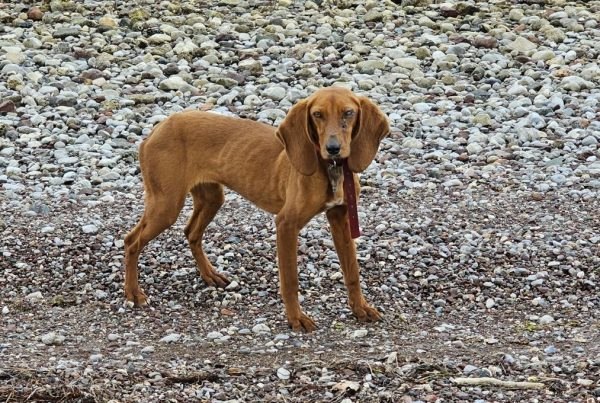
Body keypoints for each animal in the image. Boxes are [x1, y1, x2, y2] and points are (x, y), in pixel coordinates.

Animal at [124, 87, 392, 332]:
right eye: (317, 114)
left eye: (348, 113)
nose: (333, 148)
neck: (331, 169)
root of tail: (155, 130)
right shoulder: (286, 224)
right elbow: (290, 279)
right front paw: (296, 319)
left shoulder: (341, 218)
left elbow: (352, 271)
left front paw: (360, 308)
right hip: (166, 205)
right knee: (131, 241)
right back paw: (133, 293)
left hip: (211, 198)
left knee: (191, 232)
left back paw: (209, 275)